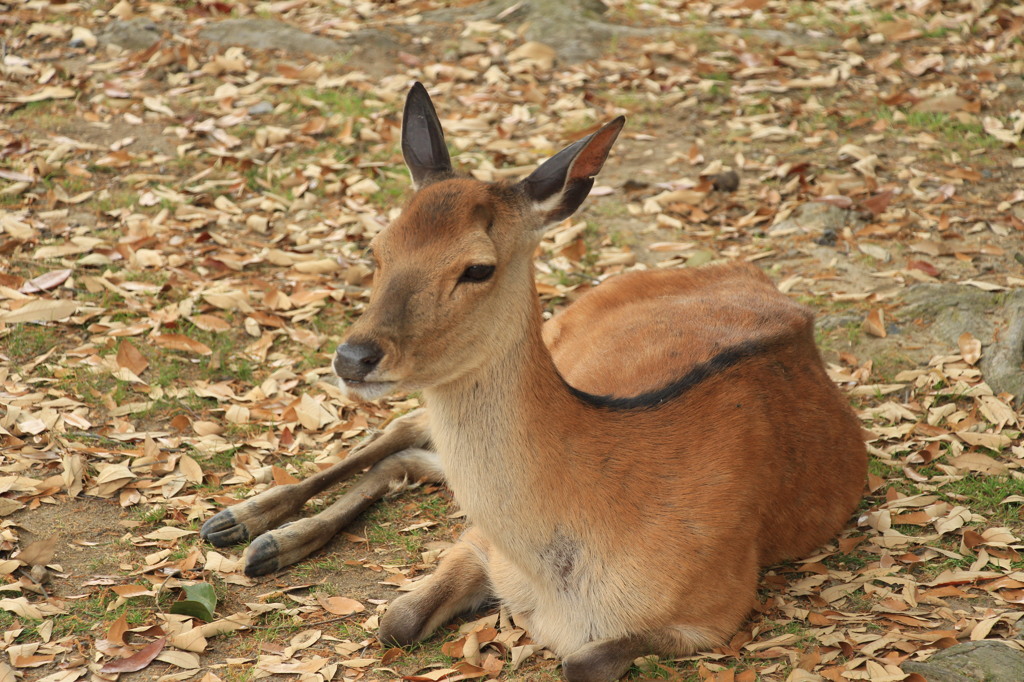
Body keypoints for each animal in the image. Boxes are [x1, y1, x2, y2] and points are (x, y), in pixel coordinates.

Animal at [203, 82, 868, 675]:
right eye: (378, 247)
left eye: (477, 267)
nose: (354, 357)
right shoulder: (479, 543)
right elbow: (394, 621)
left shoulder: (718, 608)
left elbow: (579, 662)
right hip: (564, 328)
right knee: (405, 429)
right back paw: (244, 524)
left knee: (412, 449)